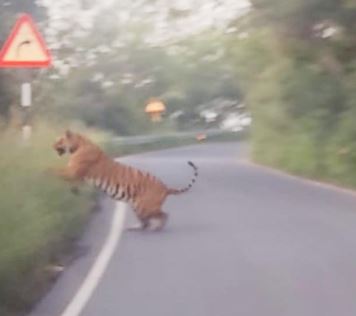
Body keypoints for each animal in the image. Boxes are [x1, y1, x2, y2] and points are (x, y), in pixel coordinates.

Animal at [52, 130, 199, 231]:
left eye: (59, 140)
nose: (52, 145)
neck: (78, 145)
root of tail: (165, 187)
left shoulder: (73, 172)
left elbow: (55, 170)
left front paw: (45, 173)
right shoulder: (77, 176)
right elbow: (68, 179)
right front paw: (74, 191)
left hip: (144, 206)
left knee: (162, 215)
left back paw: (156, 228)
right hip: (137, 206)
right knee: (146, 222)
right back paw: (134, 228)